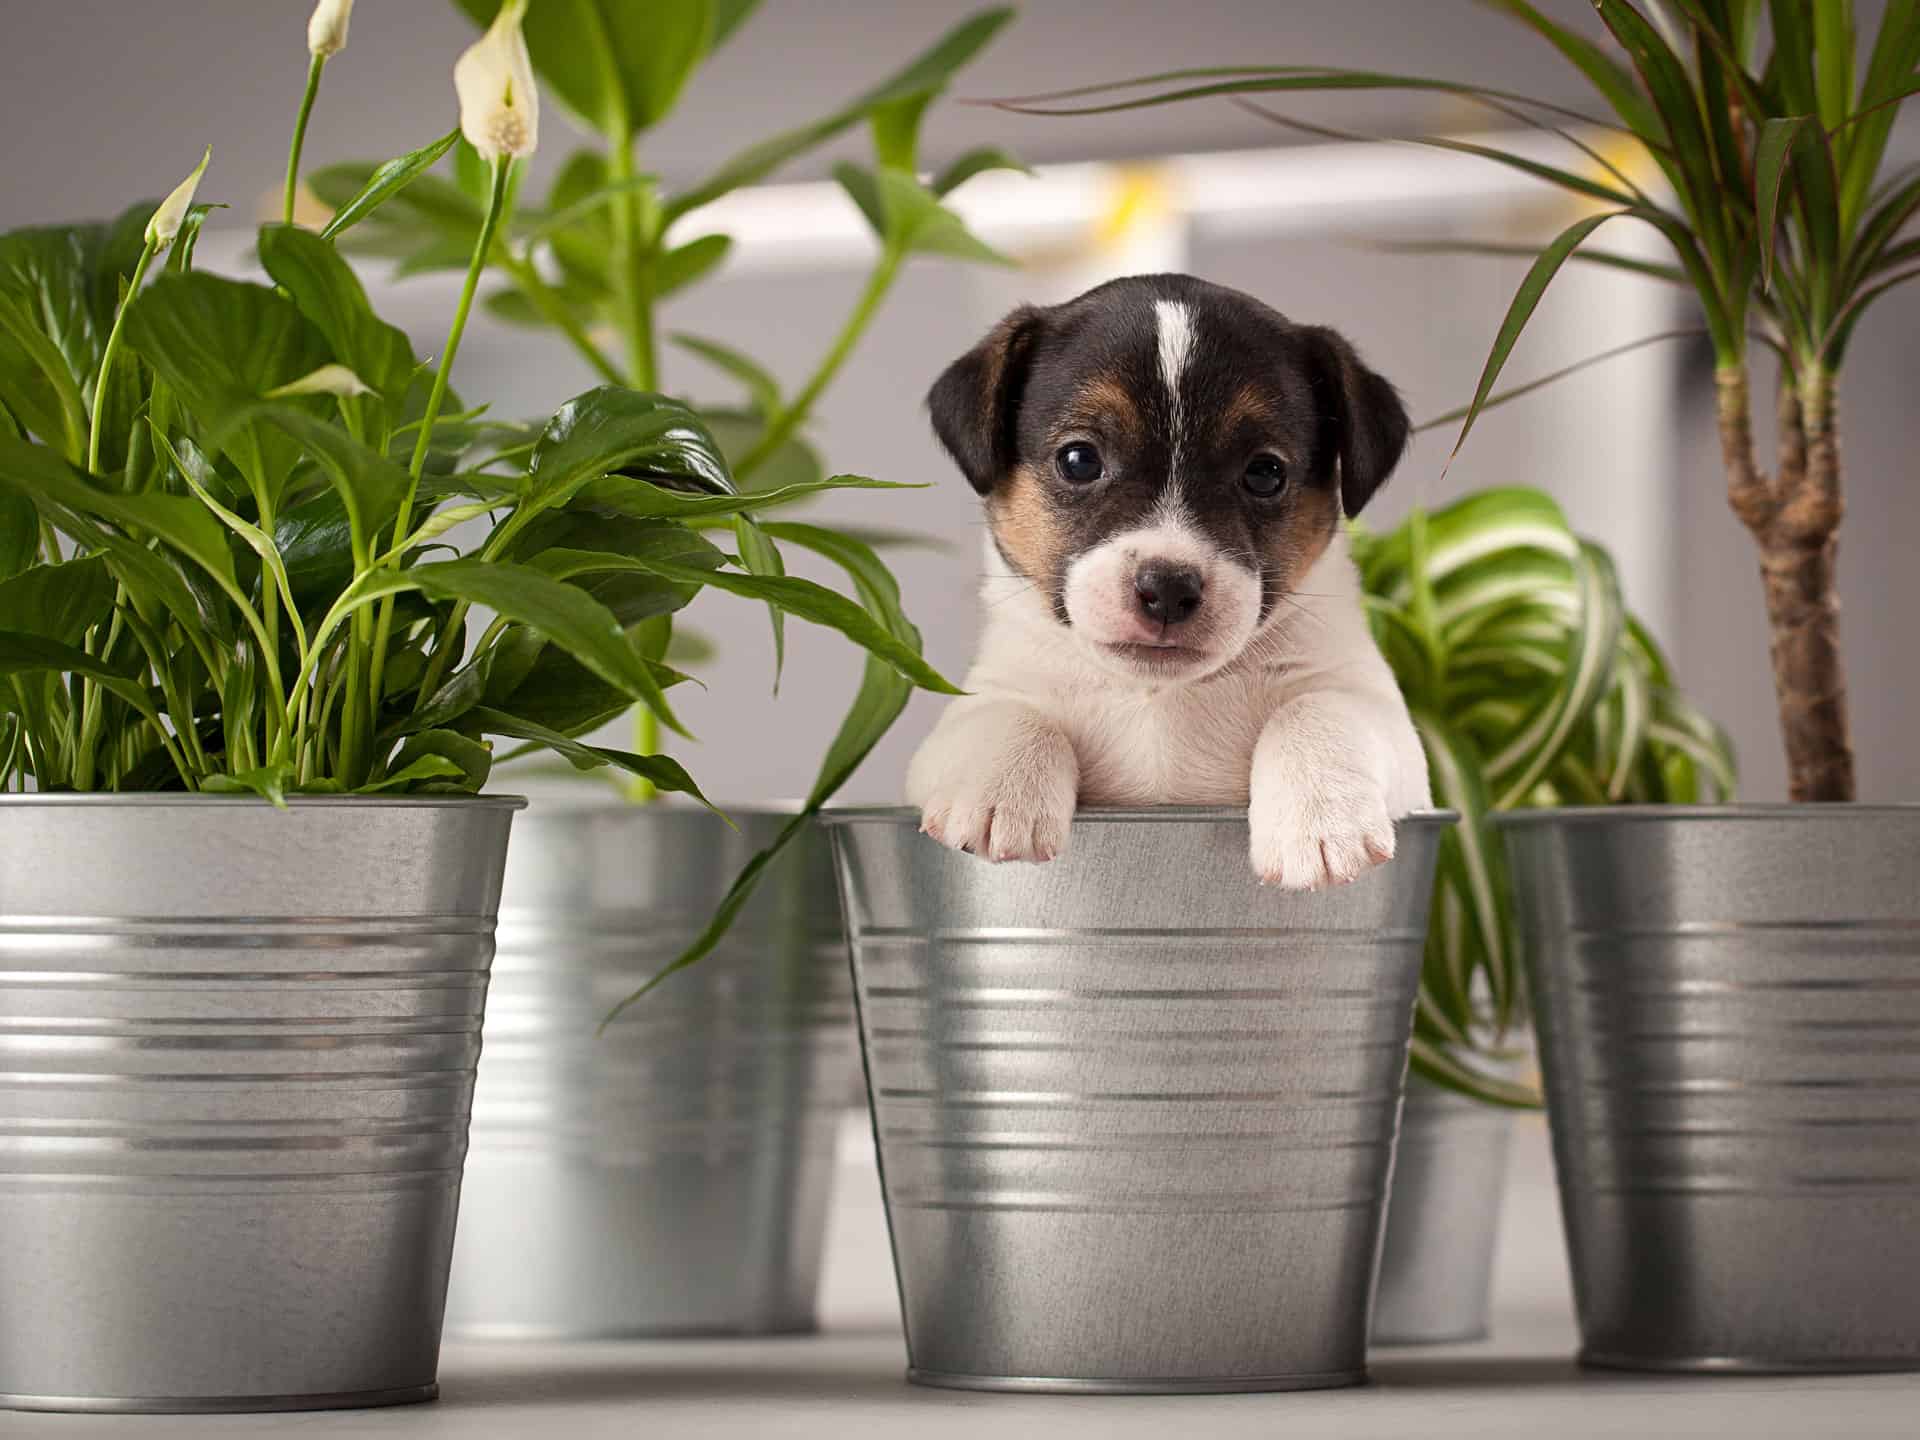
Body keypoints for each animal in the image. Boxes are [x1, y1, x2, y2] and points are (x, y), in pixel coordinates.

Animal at [906, 272, 1436, 890]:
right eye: (1079, 460)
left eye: (1265, 473)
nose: (1167, 589)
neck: (1160, 697)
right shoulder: (964, 718)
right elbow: (1008, 713)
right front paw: (1001, 792)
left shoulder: (1381, 718)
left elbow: (1318, 710)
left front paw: (1323, 819)